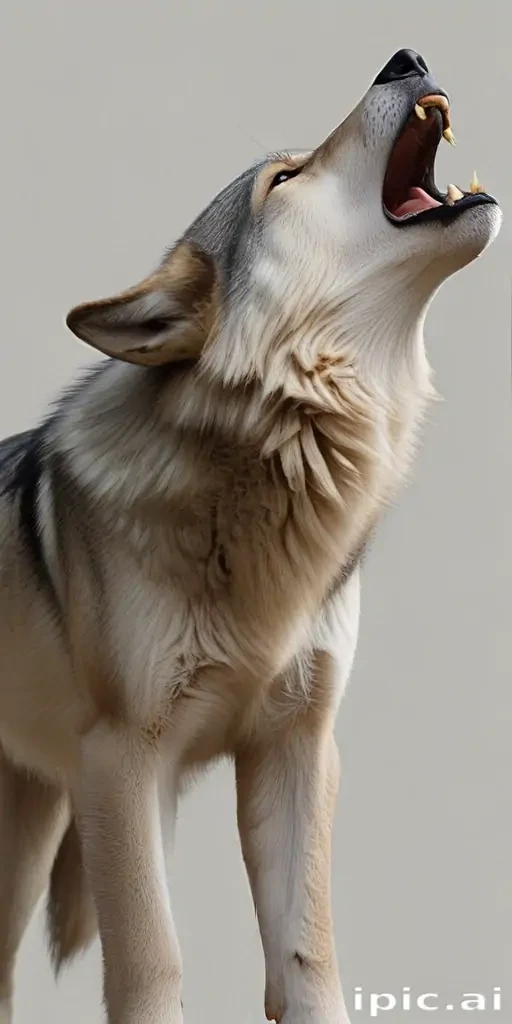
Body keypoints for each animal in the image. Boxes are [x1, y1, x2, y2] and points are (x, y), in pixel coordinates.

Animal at [0, 48, 501, 1024]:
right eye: (285, 178)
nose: (406, 56)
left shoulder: (297, 746)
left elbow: (307, 962)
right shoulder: (125, 759)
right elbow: (152, 965)